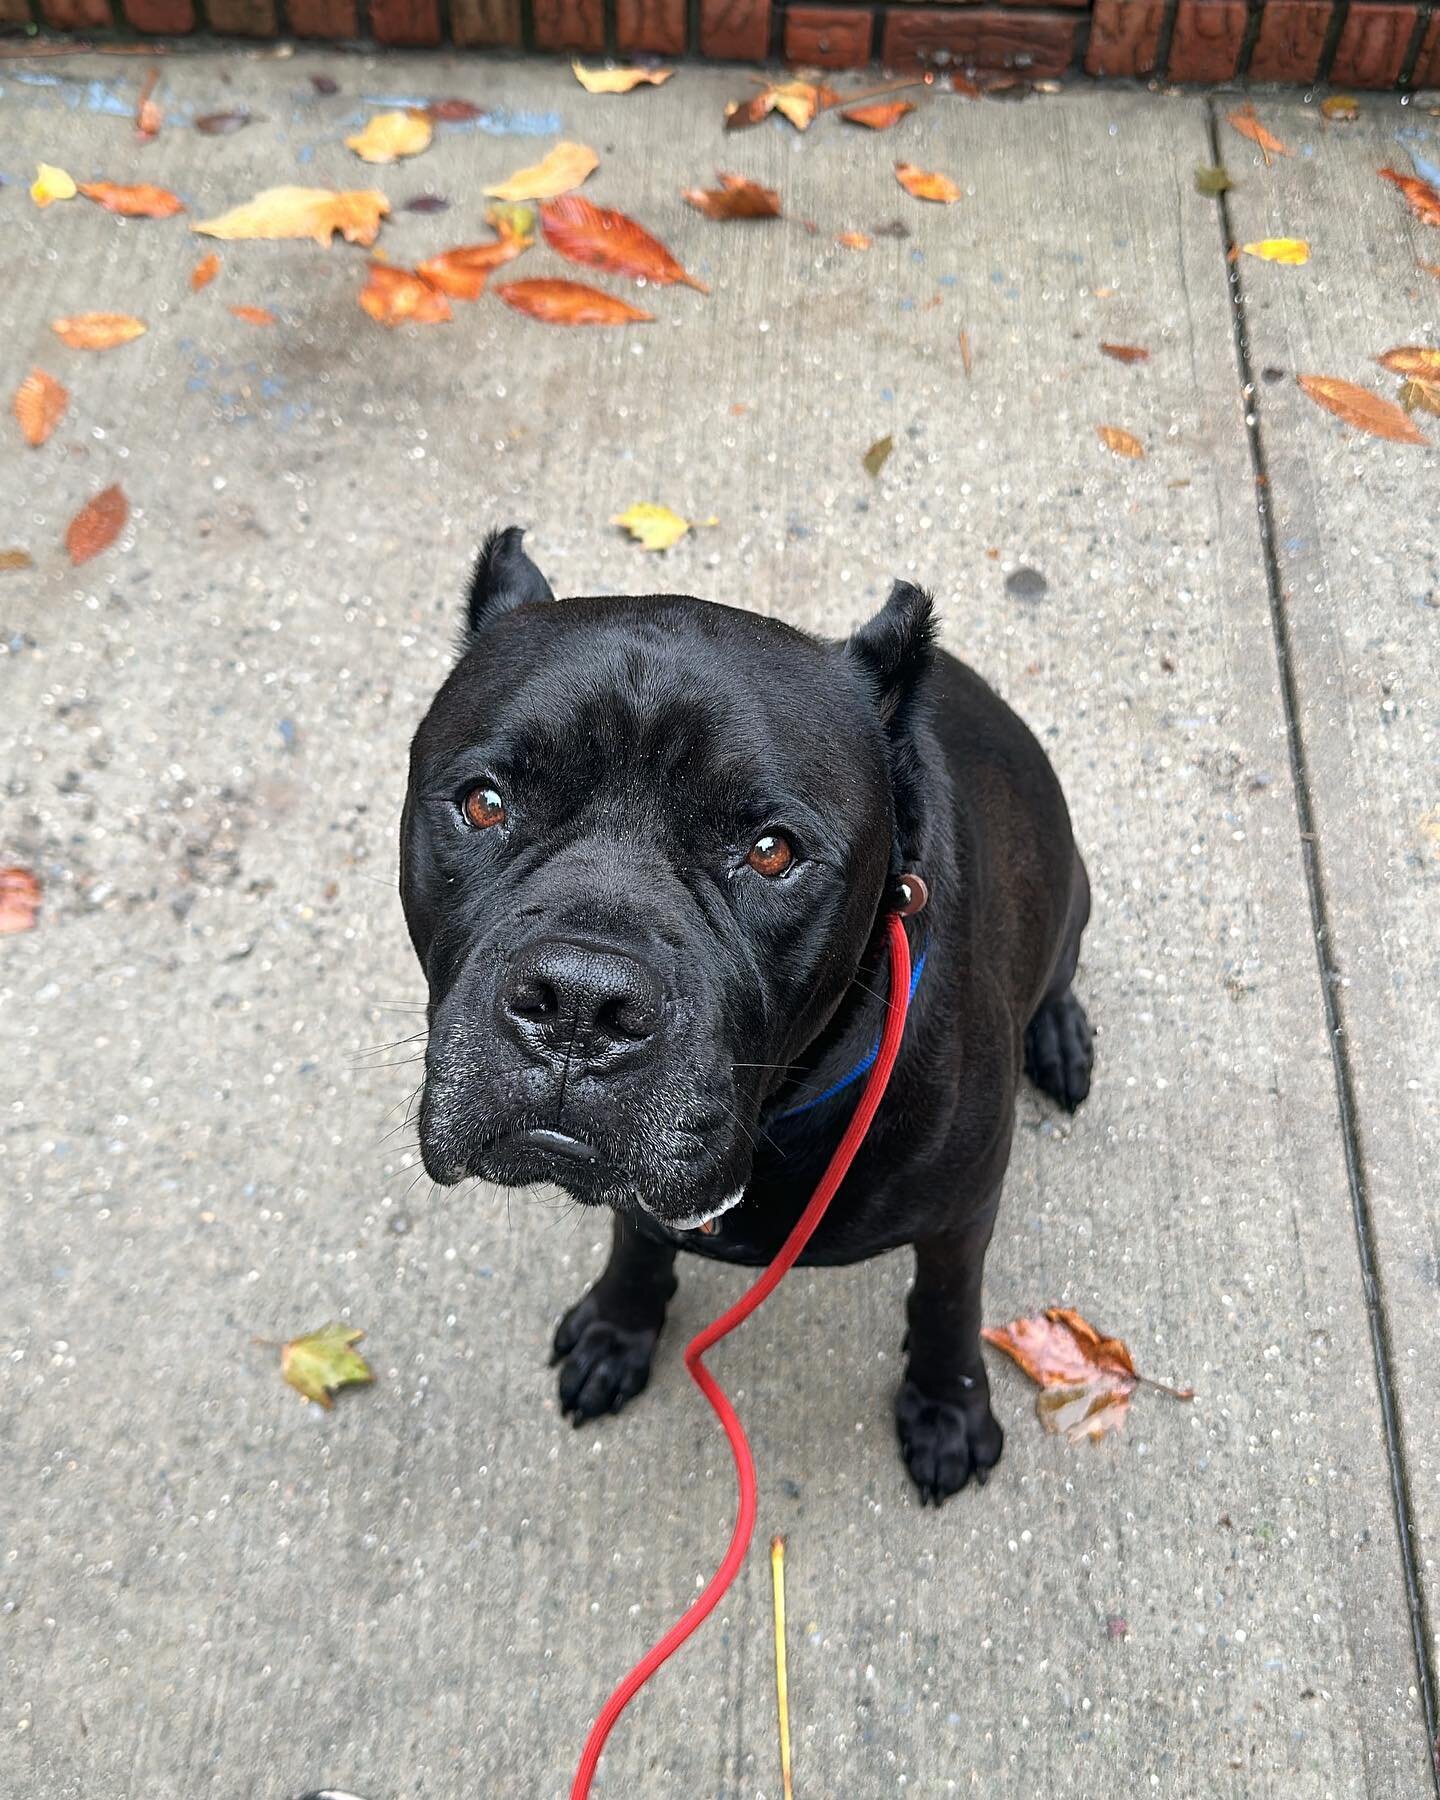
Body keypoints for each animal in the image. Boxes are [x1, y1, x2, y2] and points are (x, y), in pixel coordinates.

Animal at [396, 529, 1094, 1504]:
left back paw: (1060, 1037)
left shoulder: (964, 1212)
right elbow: (637, 1239)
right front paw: (619, 1325)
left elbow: (947, 1302)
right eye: (485, 802)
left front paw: (946, 1408)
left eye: (771, 851)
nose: (579, 1003)